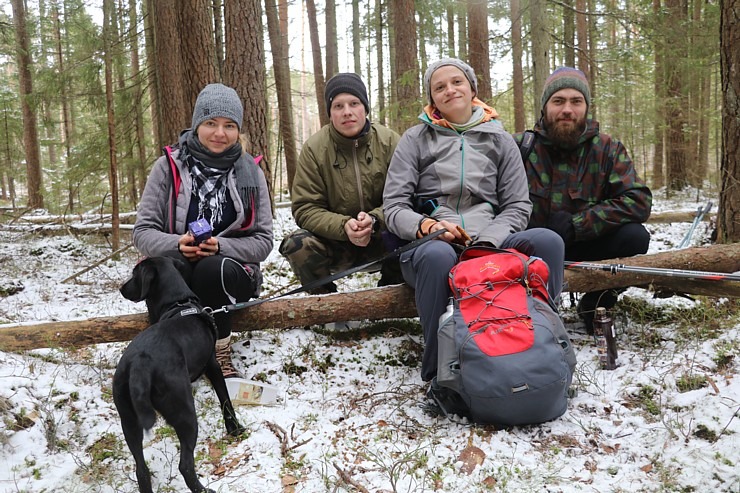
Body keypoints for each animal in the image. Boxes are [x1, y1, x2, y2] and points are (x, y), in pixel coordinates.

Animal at [112, 256, 244, 492]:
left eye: (135, 275)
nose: (121, 288)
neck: (180, 303)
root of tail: (140, 364)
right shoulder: (212, 365)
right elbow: (225, 399)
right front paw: (235, 429)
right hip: (185, 412)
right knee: (185, 465)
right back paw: (204, 489)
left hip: (128, 420)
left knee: (141, 470)